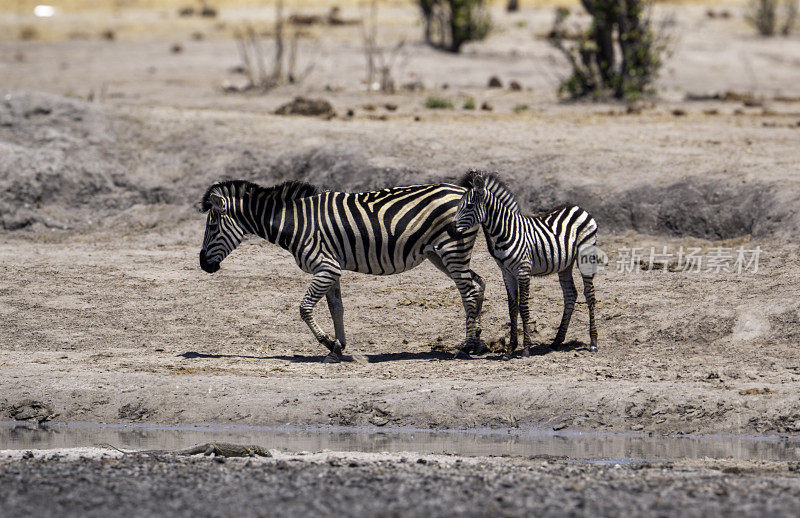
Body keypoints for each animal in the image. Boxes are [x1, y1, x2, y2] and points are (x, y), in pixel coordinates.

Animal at [199, 181, 488, 364]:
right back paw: (479, 342)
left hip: (451, 250)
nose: (203, 264)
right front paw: (337, 349)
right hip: (438, 254)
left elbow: (304, 308)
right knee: (478, 283)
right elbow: (336, 309)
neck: (295, 222)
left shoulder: (325, 267)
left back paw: (467, 346)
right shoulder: (331, 269)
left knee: (468, 291)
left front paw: (327, 342)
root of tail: (464, 191)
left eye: (212, 227)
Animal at [454, 173, 596, 360]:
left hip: (586, 256)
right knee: (570, 294)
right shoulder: (507, 273)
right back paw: (557, 341)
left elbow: (523, 306)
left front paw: (526, 348)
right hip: (565, 264)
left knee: (590, 295)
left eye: (469, 206)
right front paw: (510, 349)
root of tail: (577, 207)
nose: (451, 230)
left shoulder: (523, 271)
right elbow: (512, 308)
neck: (506, 230)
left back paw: (593, 342)